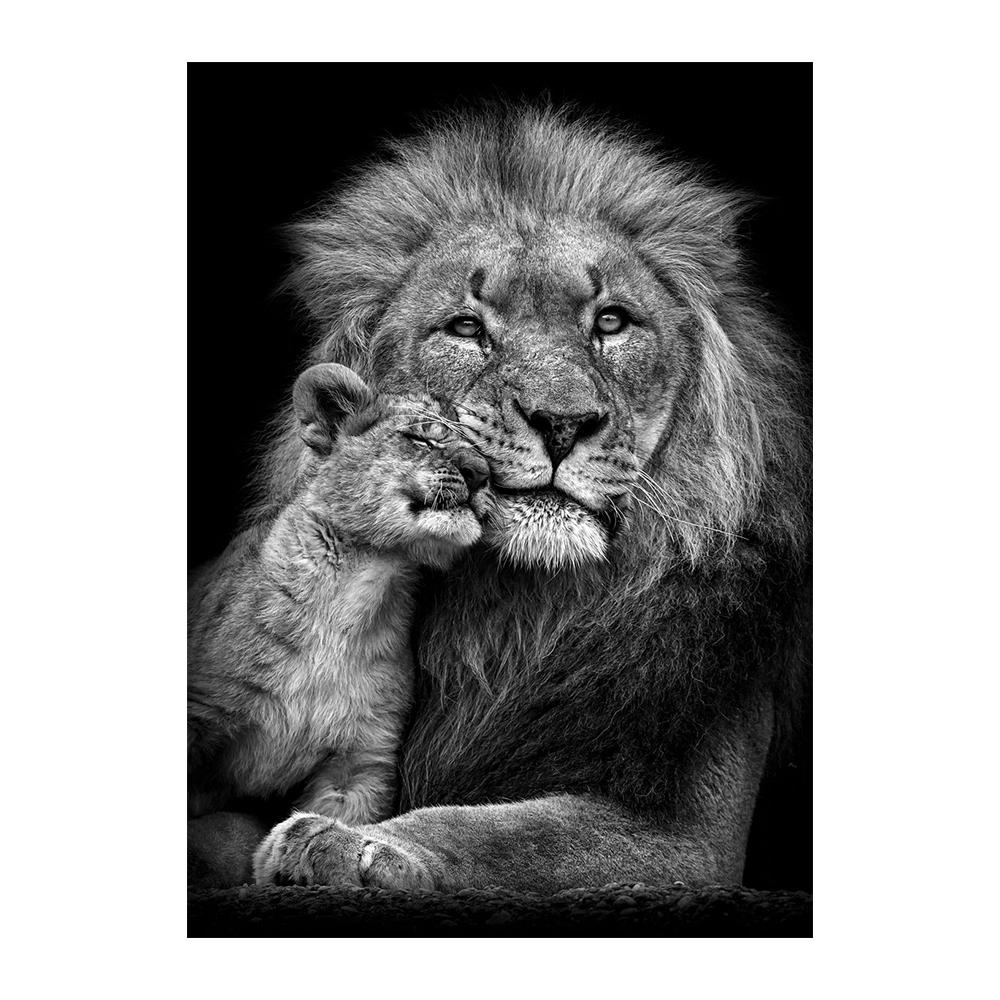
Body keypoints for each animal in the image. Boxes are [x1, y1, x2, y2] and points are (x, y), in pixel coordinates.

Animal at [196, 103, 810, 893]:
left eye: (611, 321)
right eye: (466, 328)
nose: (562, 422)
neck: (514, 615)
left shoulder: (694, 840)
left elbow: (506, 833)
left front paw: (350, 844)